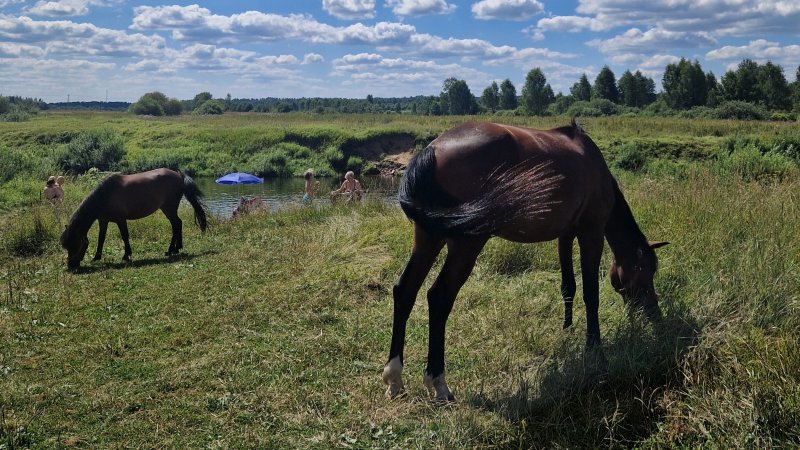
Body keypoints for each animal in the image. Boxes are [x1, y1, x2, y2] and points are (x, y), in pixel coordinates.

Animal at [61, 167, 208, 268]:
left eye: (75, 244)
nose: (71, 266)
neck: (105, 195)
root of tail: (178, 175)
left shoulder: (121, 220)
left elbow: (125, 236)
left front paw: (126, 255)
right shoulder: (103, 221)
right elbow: (101, 239)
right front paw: (96, 257)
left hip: (169, 209)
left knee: (176, 224)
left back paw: (171, 250)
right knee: (178, 224)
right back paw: (176, 248)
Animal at [382, 119, 668, 400]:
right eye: (647, 271)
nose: (655, 315)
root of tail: (433, 148)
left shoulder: (565, 234)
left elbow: (568, 285)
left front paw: (567, 329)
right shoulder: (592, 231)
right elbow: (591, 292)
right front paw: (594, 347)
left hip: (428, 238)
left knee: (405, 290)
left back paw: (394, 377)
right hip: (465, 244)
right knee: (439, 297)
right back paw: (438, 382)